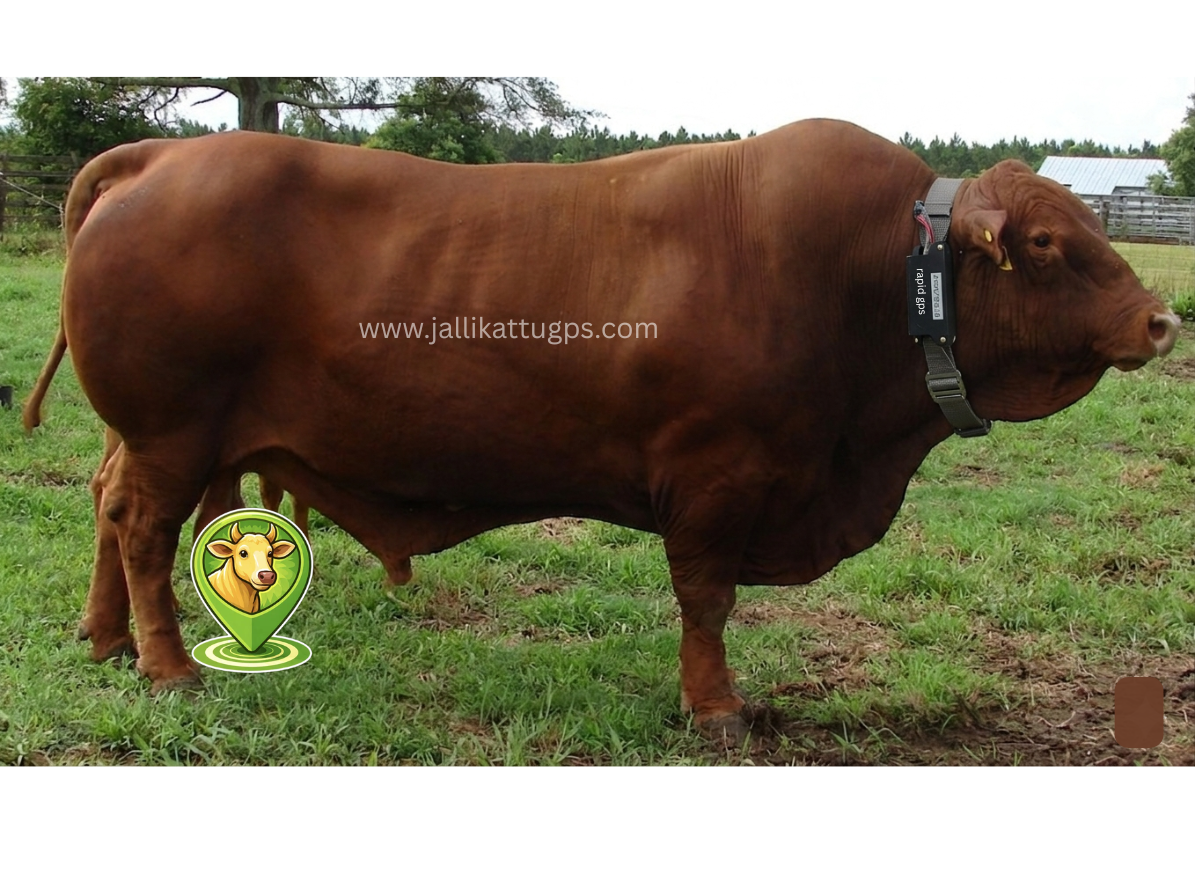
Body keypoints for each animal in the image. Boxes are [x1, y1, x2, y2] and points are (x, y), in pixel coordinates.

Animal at [25, 120, 1179, 743]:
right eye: (1044, 242)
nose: (1160, 319)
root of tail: (166, 153)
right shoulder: (716, 476)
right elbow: (705, 602)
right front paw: (715, 708)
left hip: (151, 435)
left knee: (106, 505)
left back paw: (105, 639)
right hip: (172, 432)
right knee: (141, 529)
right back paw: (165, 667)